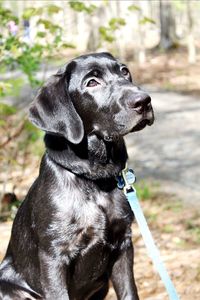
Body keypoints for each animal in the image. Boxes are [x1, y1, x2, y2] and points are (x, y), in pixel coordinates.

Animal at [0, 52, 155, 298]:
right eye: (92, 82)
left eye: (125, 71)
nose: (144, 101)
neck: (95, 180)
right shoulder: (54, 255)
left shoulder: (123, 244)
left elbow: (130, 292)